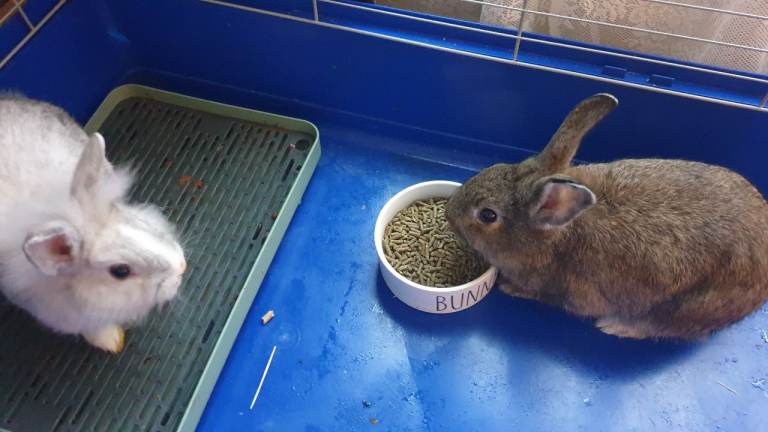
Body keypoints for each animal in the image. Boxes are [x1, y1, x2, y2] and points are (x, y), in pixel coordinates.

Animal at [446, 93, 768, 340]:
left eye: (488, 215)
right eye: (496, 167)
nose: (449, 213)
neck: (556, 236)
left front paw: (509, 287)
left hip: (691, 306)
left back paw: (615, 326)